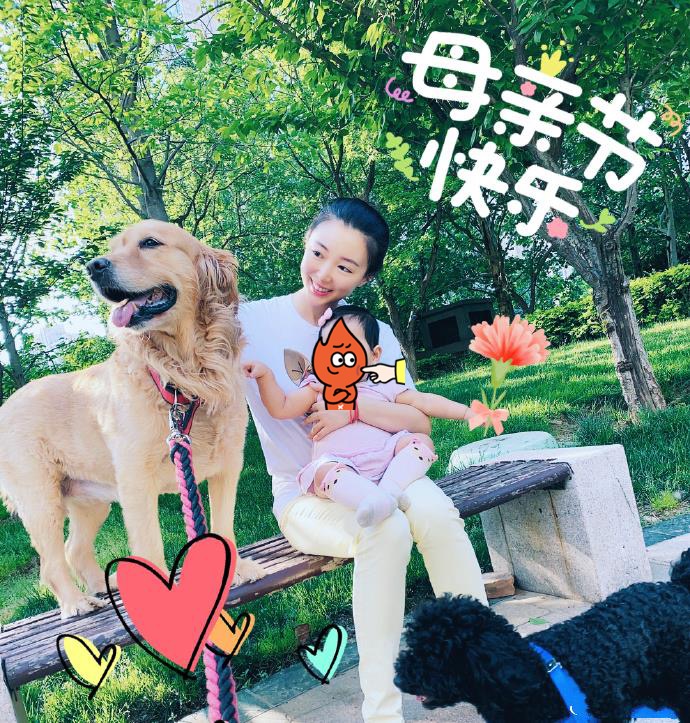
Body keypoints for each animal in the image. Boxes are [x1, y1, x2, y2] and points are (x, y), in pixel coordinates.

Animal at [0, 220, 266, 618]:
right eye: (112, 249)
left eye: (150, 243)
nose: (94, 266)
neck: (184, 376)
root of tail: (7, 403)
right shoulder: (136, 481)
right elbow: (150, 547)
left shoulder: (228, 466)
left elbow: (223, 528)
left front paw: (234, 572)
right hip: (41, 499)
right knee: (51, 563)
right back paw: (76, 603)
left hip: (90, 501)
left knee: (74, 550)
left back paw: (103, 586)